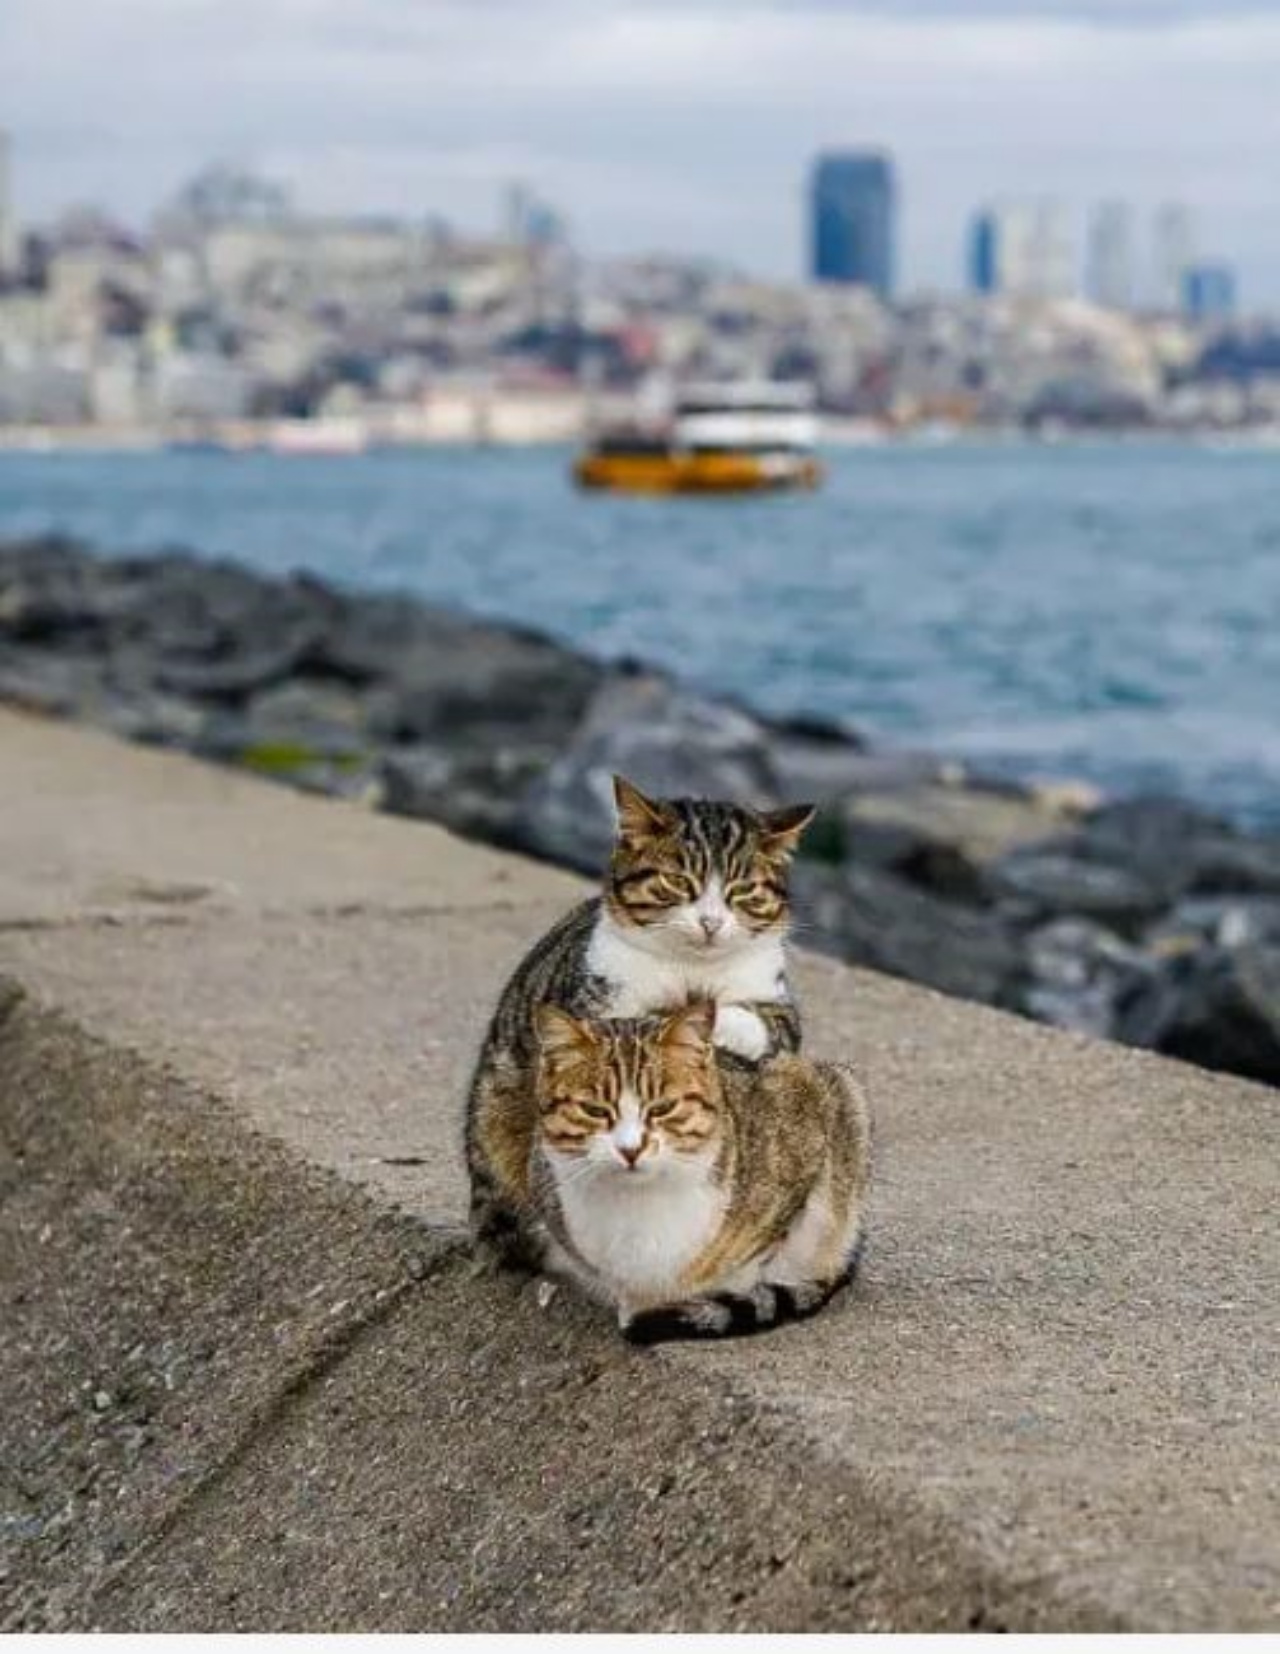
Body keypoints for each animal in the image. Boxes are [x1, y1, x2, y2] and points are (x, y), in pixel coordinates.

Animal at [466, 774, 816, 1263]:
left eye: (743, 890)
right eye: (677, 882)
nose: (711, 922)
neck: (691, 970)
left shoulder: (776, 1001)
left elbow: (767, 1022)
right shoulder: (594, 1002)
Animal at [529, 999, 873, 1336]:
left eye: (663, 1108)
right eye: (594, 1110)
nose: (631, 1150)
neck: (639, 1201)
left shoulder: (802, 1107)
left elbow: (761, 1256)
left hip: (845, 1101)